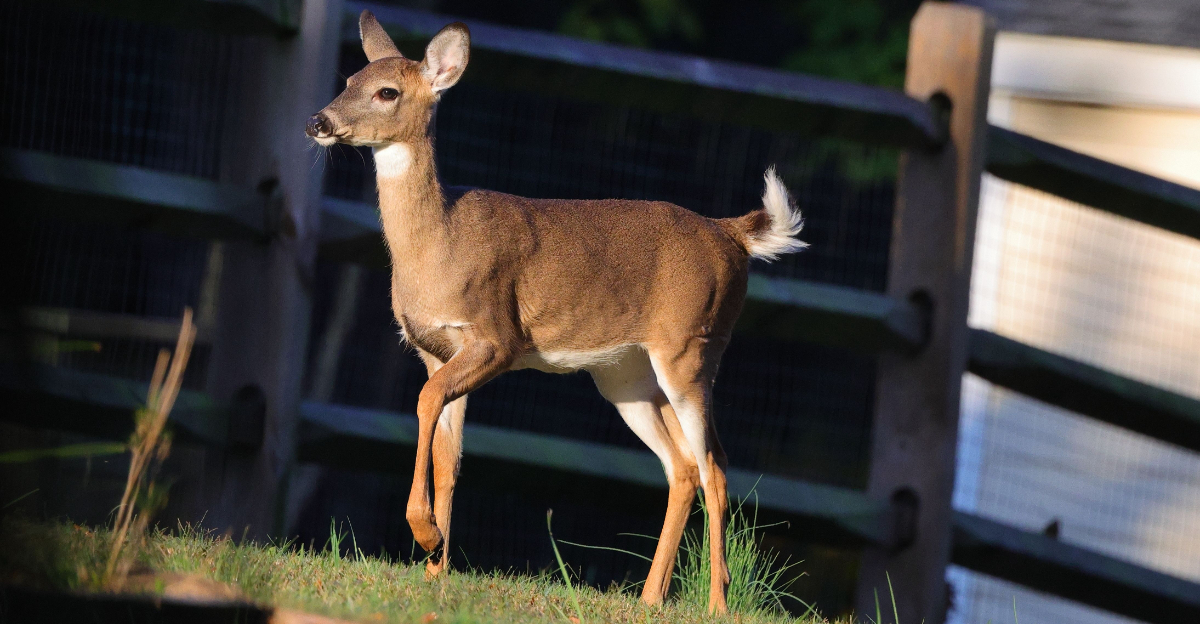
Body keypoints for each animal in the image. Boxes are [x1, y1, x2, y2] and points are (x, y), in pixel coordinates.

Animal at [306, 11, 807, 614]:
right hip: (627, 376)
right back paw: (649, 599)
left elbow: (427, 405)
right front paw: (435, 566)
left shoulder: (497, 337)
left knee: (716, 467)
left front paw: (425, 535)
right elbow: (449, 453)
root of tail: (732, 234)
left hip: (692, 347)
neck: (438, 245)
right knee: (683, 467)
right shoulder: (435, 352)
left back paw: (716, 604)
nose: (319, 120)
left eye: (387, 92)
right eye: (350, 78)